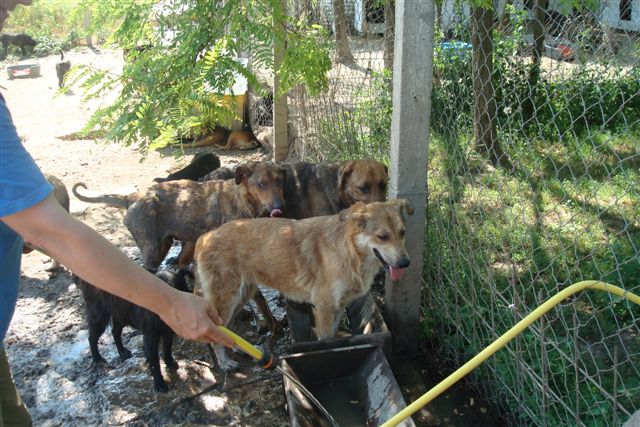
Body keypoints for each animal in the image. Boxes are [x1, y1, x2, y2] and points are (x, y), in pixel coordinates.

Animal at [70, 162, 288, 272]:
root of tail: (133, 196)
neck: (242, 200)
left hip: (174, 243)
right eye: (261, 184)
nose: (280, 207)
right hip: (154, 248)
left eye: (279, 181)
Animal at [194, 200, 410, 372]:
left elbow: (334, 336)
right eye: (382, 236)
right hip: (227, 298)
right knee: (216, 328)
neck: (349, 251)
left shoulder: (338, 307)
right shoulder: (324, 308)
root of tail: (205, 236)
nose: (405, 263)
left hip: (241, 296)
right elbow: (326, 342)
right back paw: (225, 363)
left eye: (402, 233)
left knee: (226, 327)